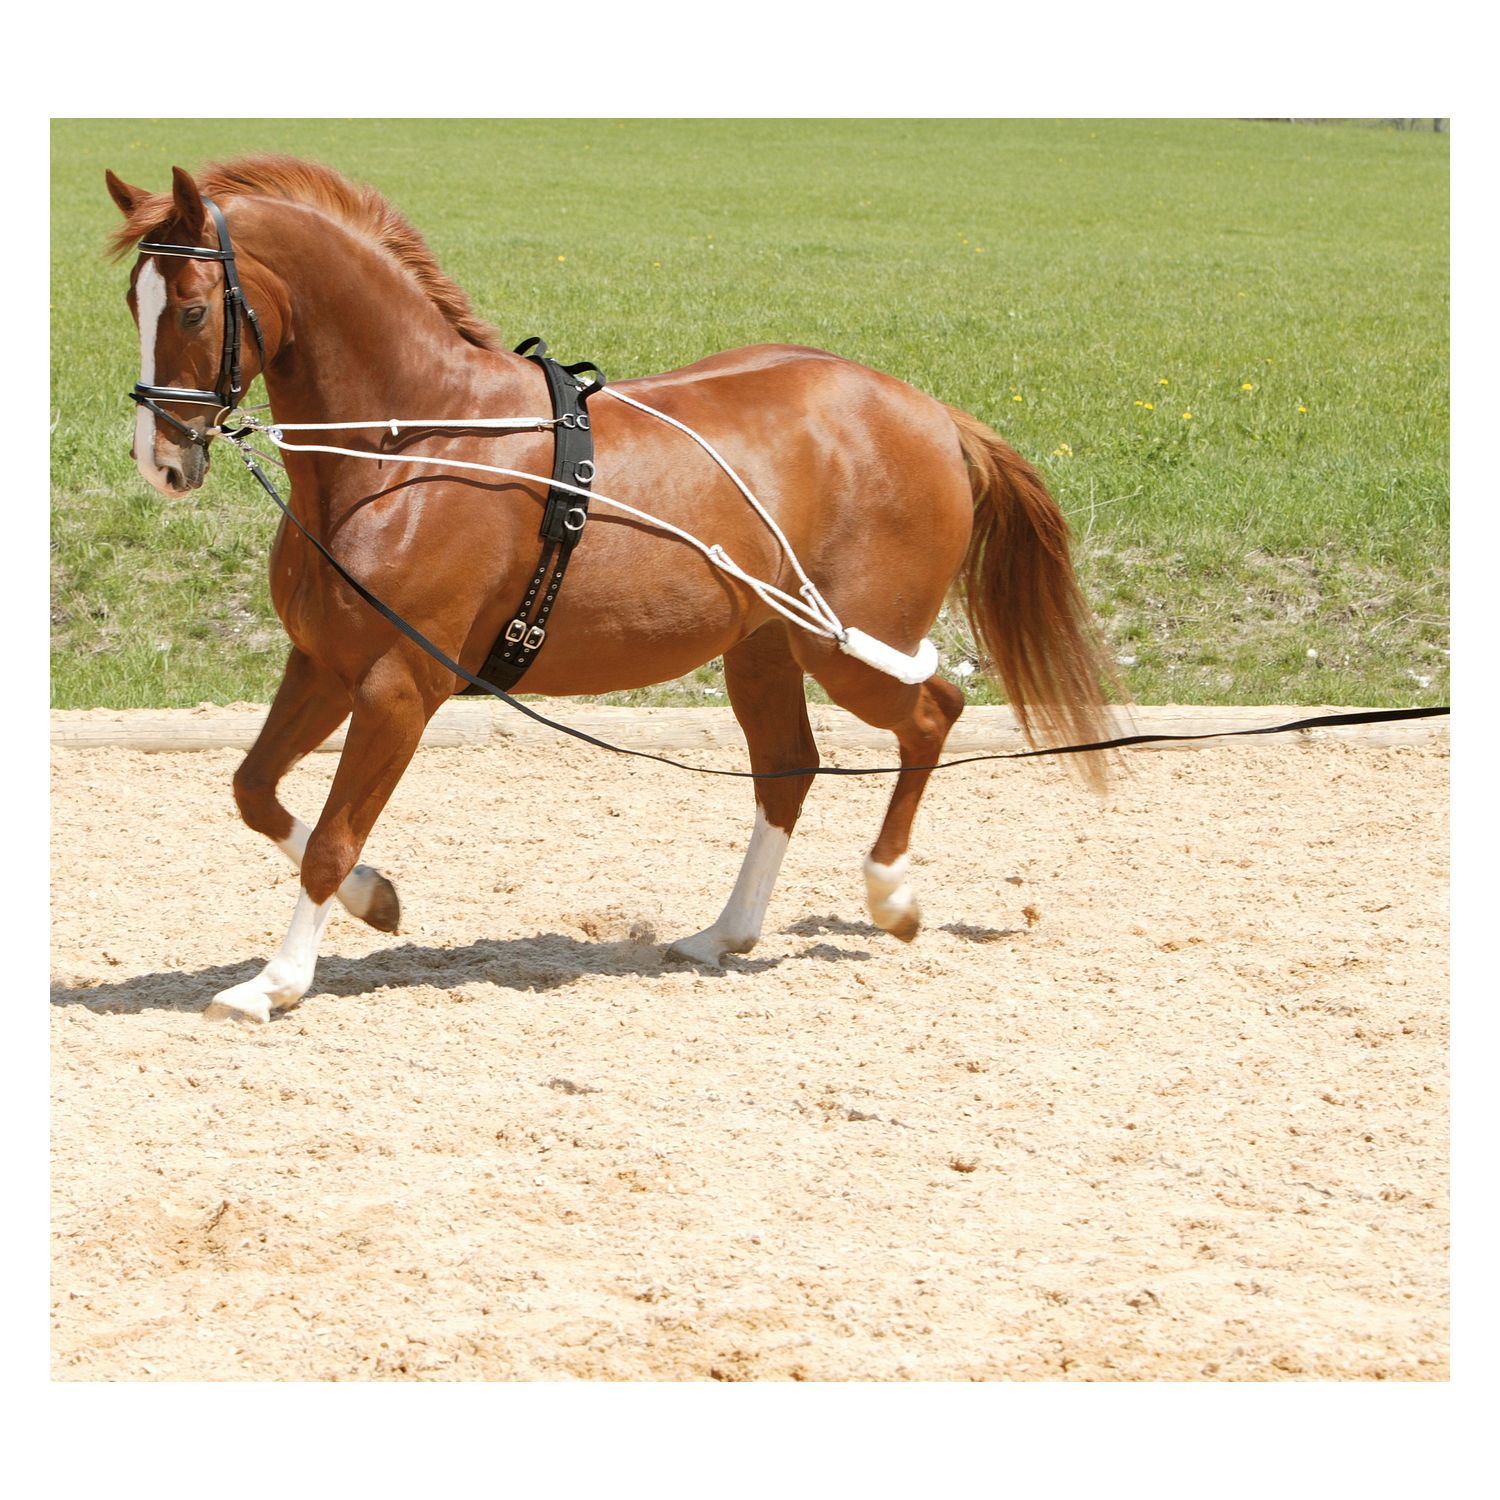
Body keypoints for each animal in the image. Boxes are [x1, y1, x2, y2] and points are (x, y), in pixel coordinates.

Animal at [105, 154, 1116, 1024]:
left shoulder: (400, 684)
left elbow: (327, 837)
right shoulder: (322, 663)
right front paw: (378, 901)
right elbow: (254, 789)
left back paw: (891, 894)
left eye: (189, 311)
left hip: (852, 648)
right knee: (789, 768)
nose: (163, 463)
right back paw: (722, 936)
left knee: (932, 713)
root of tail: (931, 411)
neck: (410, 446)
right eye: (130, 300)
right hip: (761, 649)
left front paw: (273, 983)